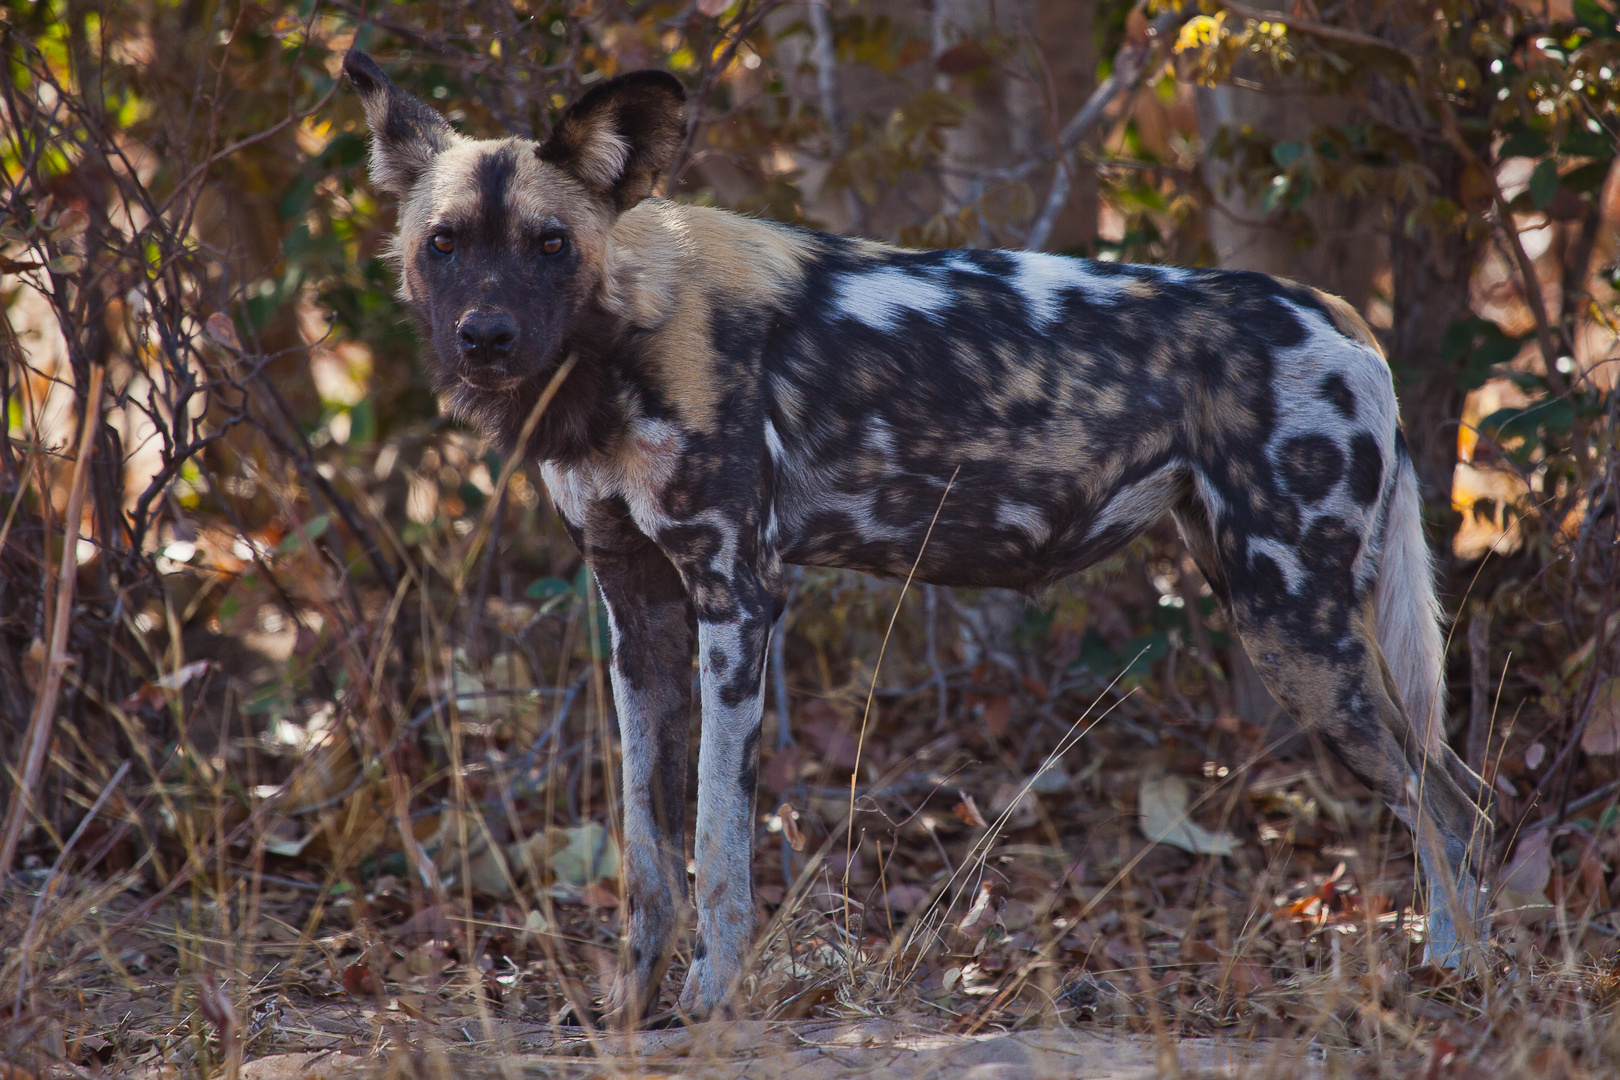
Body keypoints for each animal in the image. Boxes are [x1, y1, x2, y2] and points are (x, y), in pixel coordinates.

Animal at [341, 52, 1490, 1023]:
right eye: (445, 245)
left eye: (550, 245)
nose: (486, 339)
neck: (625, 328)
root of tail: (1335, 313)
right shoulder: (638, 611)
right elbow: (648, 849)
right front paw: (632, 1003)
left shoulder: (737, 600)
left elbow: (717, 840)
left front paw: (712, 1001)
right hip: (1275, 607)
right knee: (1452, 787)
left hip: (1294, 632)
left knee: (1449, 796)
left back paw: (1462, 973)